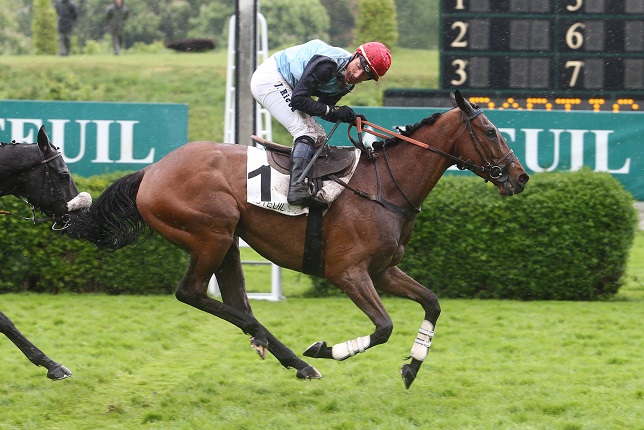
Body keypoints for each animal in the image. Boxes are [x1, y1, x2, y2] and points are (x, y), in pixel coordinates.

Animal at [64, 92, 528, 388]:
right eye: (490, 131)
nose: (520, 176)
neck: (385, 187)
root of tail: (151, 171)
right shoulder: (348, 272)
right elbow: (383, 327)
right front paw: (325, 349)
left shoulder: (383, 270)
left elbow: (431, 303)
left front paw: (412, 367)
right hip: (211, 232)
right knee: (193, 293)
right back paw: (291, 354)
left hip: (228, 240)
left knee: (234, 300)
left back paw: (287, 357)